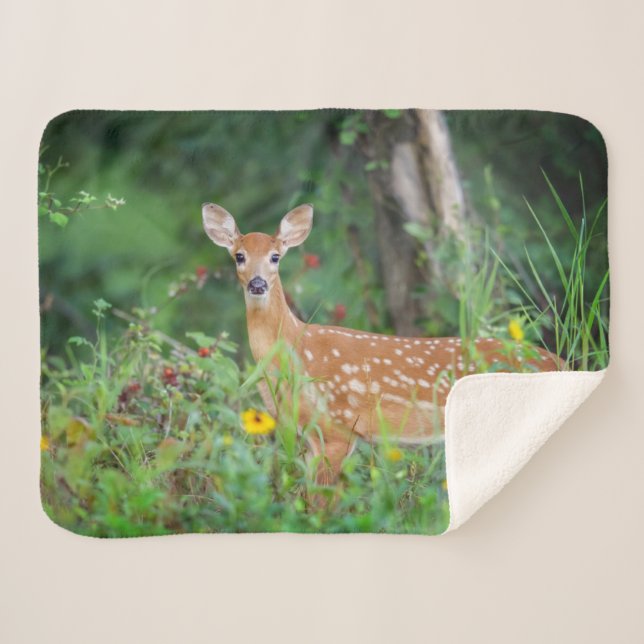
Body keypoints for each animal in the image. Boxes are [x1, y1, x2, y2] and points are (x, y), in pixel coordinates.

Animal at [202, 202, 561, 485]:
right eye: (239, 256)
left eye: (275, 256)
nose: (258, 284)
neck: (296, 350)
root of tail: (559, 362)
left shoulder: (339, 426)